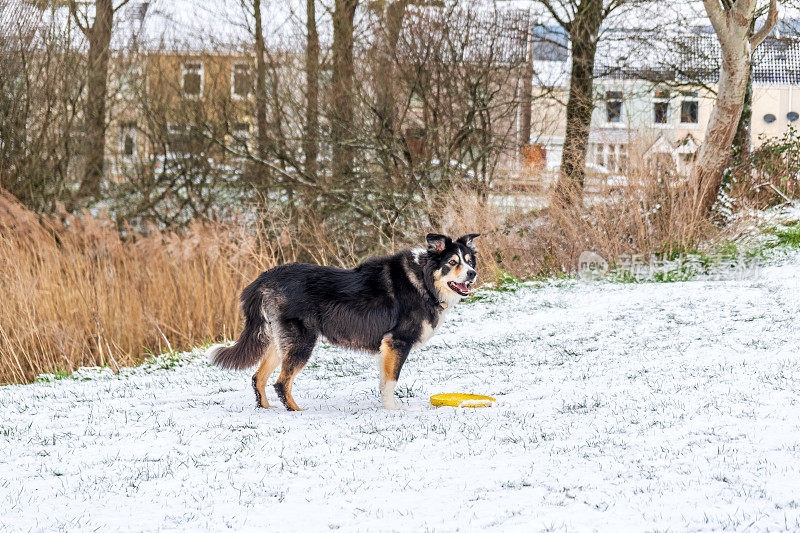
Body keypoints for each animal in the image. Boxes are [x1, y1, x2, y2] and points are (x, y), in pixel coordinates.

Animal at [209, 231, 478, 410]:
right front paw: (393, 410)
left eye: (469, 261)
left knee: (259, 378)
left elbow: (384, 381)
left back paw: (266, 409)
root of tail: (263, 279)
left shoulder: (388, 347)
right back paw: (296, 411)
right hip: (301, 342)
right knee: (281, 383)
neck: (423, 279)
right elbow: (391, 380)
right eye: (452, 262)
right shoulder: (397, 342)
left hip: (280, 341)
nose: (473, 274)